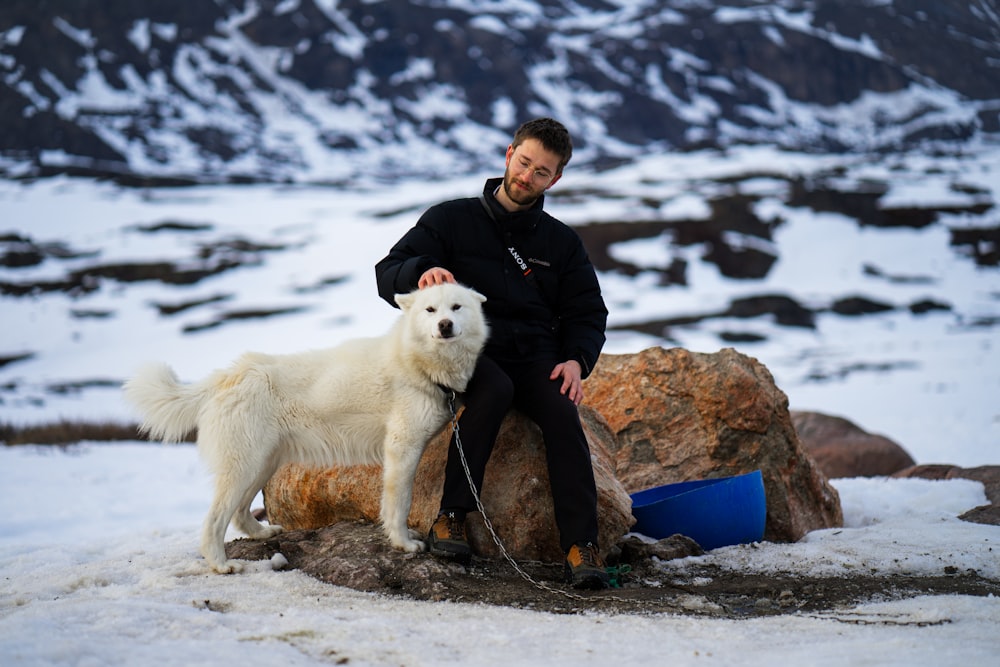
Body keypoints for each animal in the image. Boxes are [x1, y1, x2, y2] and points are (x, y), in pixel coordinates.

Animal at [123, 282, 490, 576]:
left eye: (456, 307)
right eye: (430, 310)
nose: (444, 325)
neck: (416, 363)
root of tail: (229, 375)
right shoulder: (402, 448)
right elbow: (400, 503)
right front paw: (403, 543)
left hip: (263, 464)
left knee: (240, 513)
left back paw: (262, 534)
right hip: (244, 467)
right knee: (214, 521)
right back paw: (222, 565)